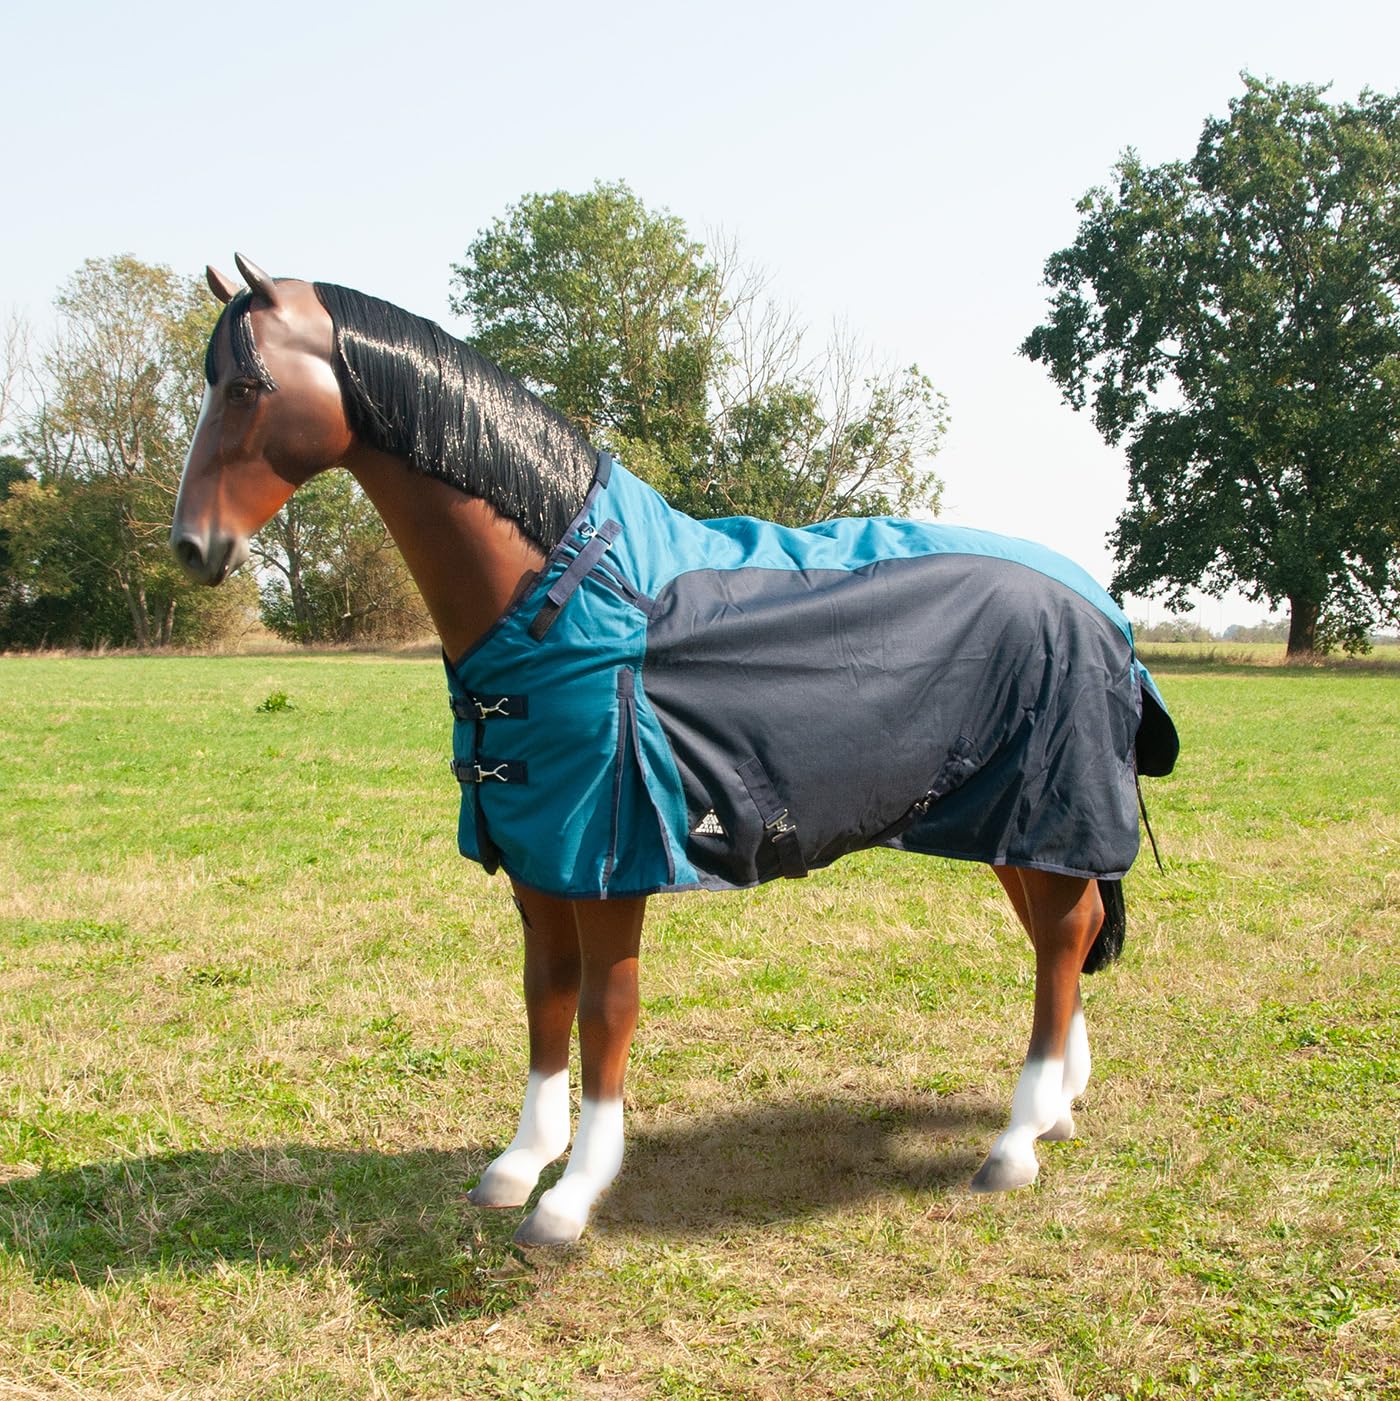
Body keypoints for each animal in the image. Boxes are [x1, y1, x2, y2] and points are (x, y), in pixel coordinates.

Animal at [171, 255, 1178, 1247]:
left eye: (249, 385)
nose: (192, 547)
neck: (565, 586)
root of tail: (1104, 608)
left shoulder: (611, 860)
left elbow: (604, 1010)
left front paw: (574, 1193)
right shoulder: (538, 853)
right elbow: (546, 995)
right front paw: (519, 1162)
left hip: (1050, 806)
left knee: (1061, 939)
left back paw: (1016, 1142)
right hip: (1015, 824)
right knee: (1062, 933)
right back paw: (1056, 1109)